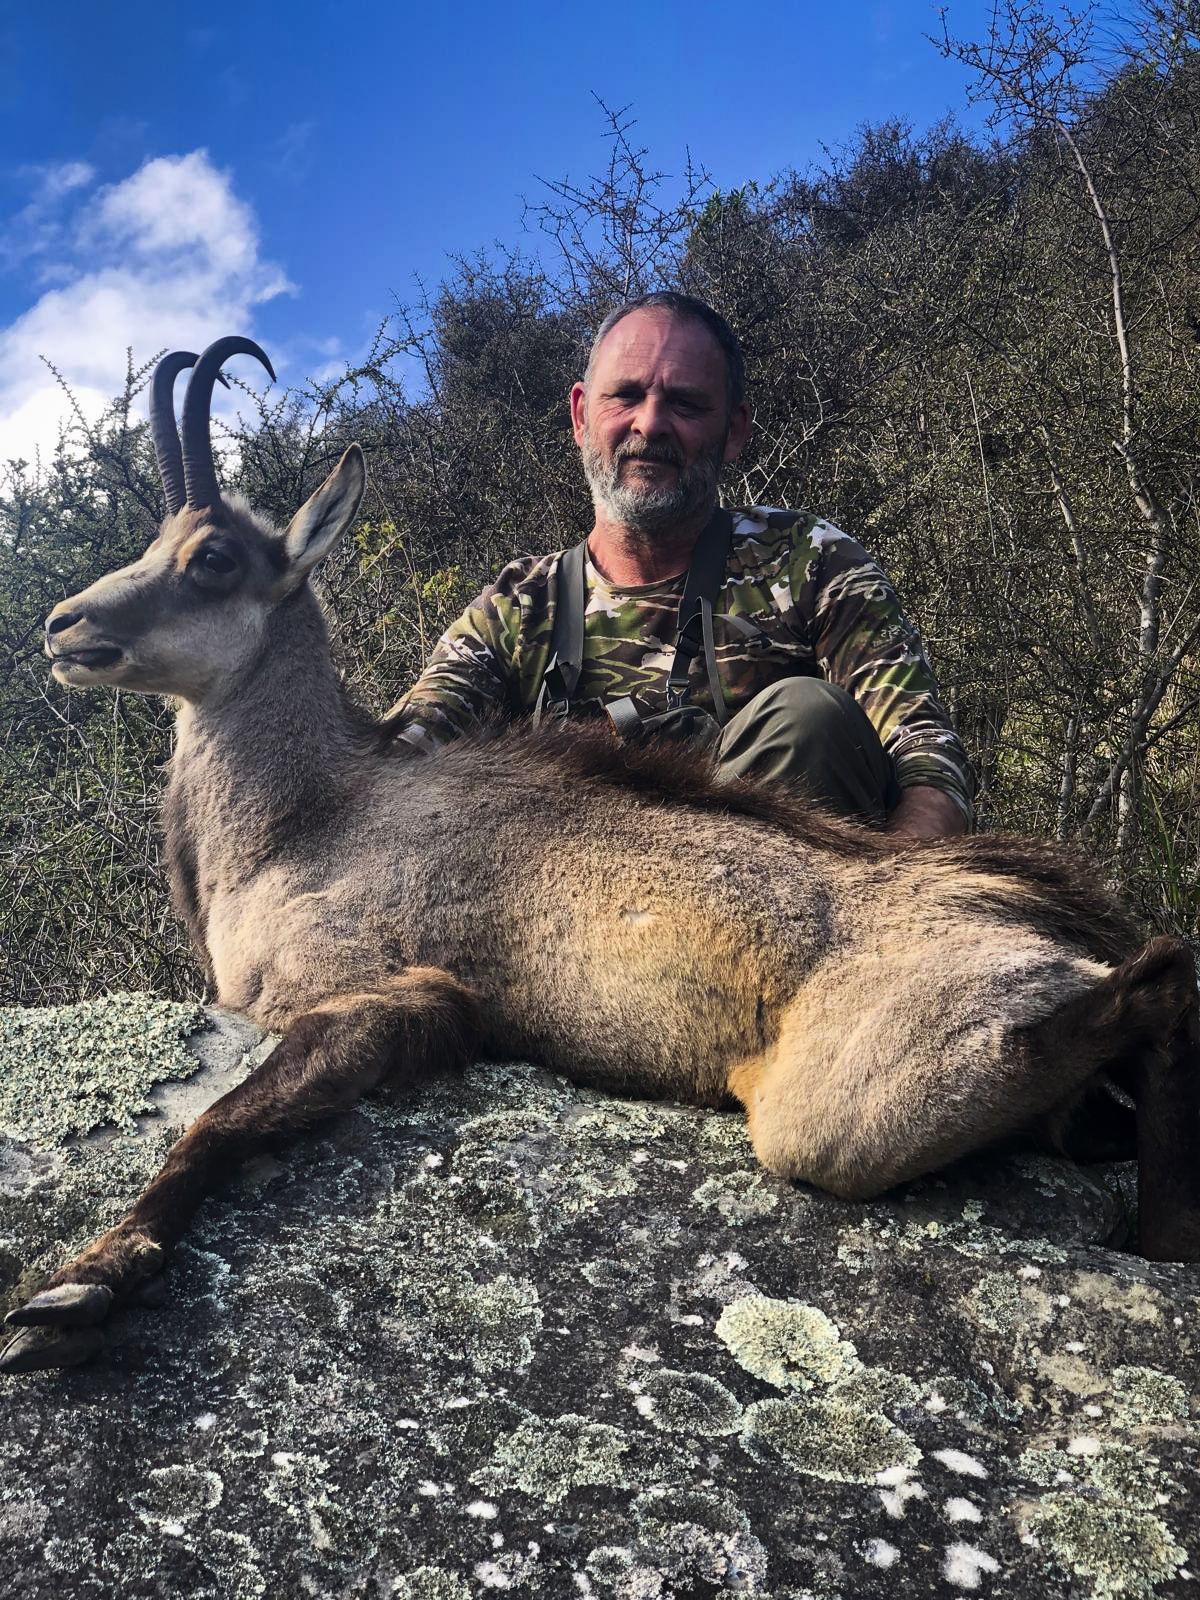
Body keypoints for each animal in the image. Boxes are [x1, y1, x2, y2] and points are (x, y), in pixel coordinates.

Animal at [4, 335, 1199, 1376]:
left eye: (209, 557)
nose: (61, 625)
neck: (307, 818)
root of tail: (1035, 912)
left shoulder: (390, 997)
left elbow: (210, 1127)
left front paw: (76, 1293)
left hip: (844, 1109)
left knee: (1155, 985)